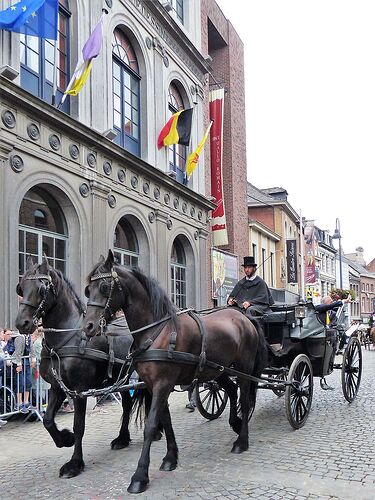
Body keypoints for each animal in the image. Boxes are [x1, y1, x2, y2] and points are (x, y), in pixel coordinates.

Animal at [14, 260, 142, 478]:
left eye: (41, 289)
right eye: (21, 288)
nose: (21, 323)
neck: (66, 339)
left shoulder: (79, 390)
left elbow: (79, 425)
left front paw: (75, 463)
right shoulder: (58, 388)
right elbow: (48, 420)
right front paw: (65, 439)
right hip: (120, 379)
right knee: (127, 404)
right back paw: (122, 438)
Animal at [83, 252, 268, 494]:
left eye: (105, 287)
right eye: (88, 289)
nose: (88, 326)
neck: (157, 331)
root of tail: (245, 317)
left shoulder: (163, 383)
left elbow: (152, 425)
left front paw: (140, 476)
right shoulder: (155, 385)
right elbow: (166, 420)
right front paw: (171, 457)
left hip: (244, 368)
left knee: (245, 401)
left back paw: (242, 441)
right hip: (218, 370)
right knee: (231, 391)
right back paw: (235, 424)